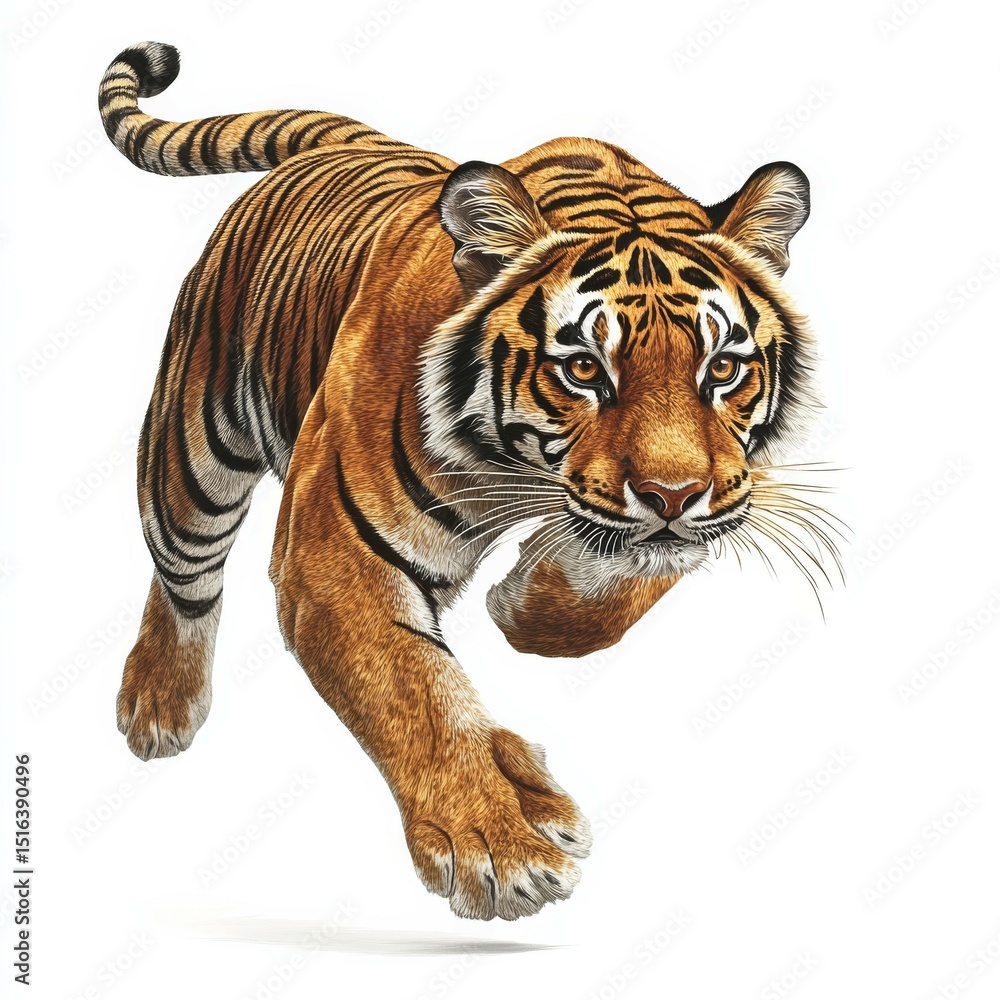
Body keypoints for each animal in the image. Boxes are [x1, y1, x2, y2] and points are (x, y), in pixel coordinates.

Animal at [101, 41, 830, 922]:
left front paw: (526, 601)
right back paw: (160, 700)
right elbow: (410, 687)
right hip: (192, 448)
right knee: (185, 574)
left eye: (722, 369)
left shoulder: (727, 489)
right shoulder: (333, 552)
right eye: (584, 369)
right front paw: (498, 849)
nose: (671, 497)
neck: (517, 470)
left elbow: (605, 597)